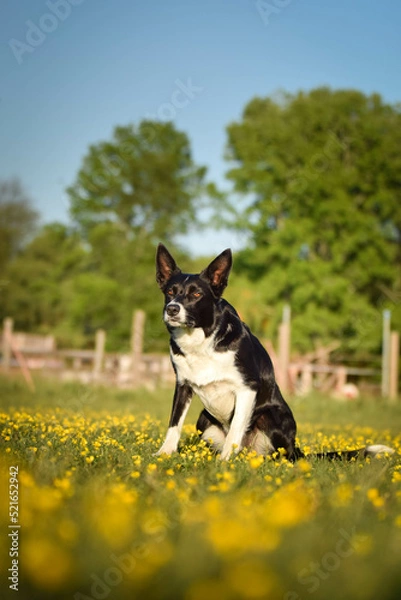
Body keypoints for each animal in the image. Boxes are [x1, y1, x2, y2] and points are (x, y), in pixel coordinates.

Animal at [155, 243, 394, 460]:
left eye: (196, 294)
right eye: (170, 292)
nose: (172, 309)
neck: (202, 340)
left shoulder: (247, 388)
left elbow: (235, 429)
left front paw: (224, 463)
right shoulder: (183, 385)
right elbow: (174, 424)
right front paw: (164, 454)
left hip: (270, 416)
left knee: (280, 455)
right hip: (204, 419)